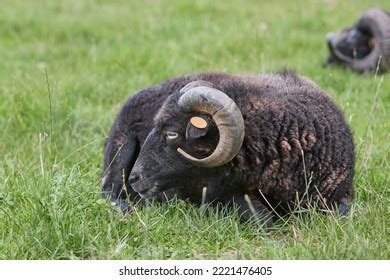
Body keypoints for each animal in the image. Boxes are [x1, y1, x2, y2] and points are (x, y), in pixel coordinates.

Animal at [102, 71, 354, 226]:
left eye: (172, 133)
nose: (134, 178)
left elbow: (343, 213)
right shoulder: (220, 193)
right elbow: (264, 220)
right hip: (119, 153)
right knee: (109, 194)